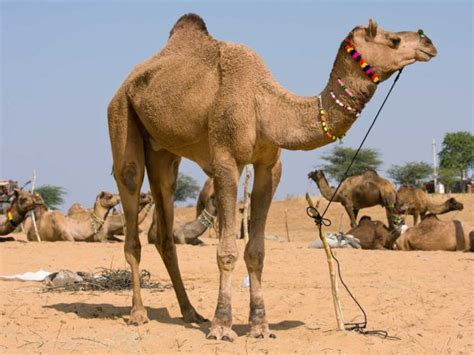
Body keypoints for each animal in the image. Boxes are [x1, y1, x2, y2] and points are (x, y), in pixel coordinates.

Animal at [107, 13, 436, 340]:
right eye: (393, 39)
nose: (428, 41)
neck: (264, 104)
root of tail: (127, 83)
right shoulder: (226, 160)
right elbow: (227, 251)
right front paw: (222, 325)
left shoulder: (270, 166)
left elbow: (257, 251)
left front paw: (260, 326)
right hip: (121, 118)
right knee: (131, 197)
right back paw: (138, 314)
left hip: (164, 152)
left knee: (165, 228)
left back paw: (190, 312)